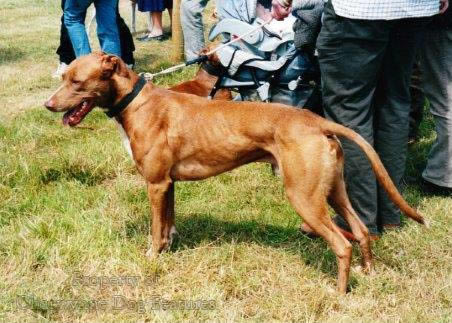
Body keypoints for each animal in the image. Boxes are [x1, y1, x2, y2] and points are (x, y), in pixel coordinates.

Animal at [44, 53, 426, 294]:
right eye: (64, 78)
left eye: (77, 81)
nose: (48, 105)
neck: (137, 102)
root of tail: (317, 121)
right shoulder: (167, 185)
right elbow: (167, 225)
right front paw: (168, 249)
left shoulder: (155, 184)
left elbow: (154, 231)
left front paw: (151, 258)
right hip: (333, 192)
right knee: (360, 232)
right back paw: (368, 273)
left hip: (303, 198)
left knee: (342, 244)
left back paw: (338, 292)